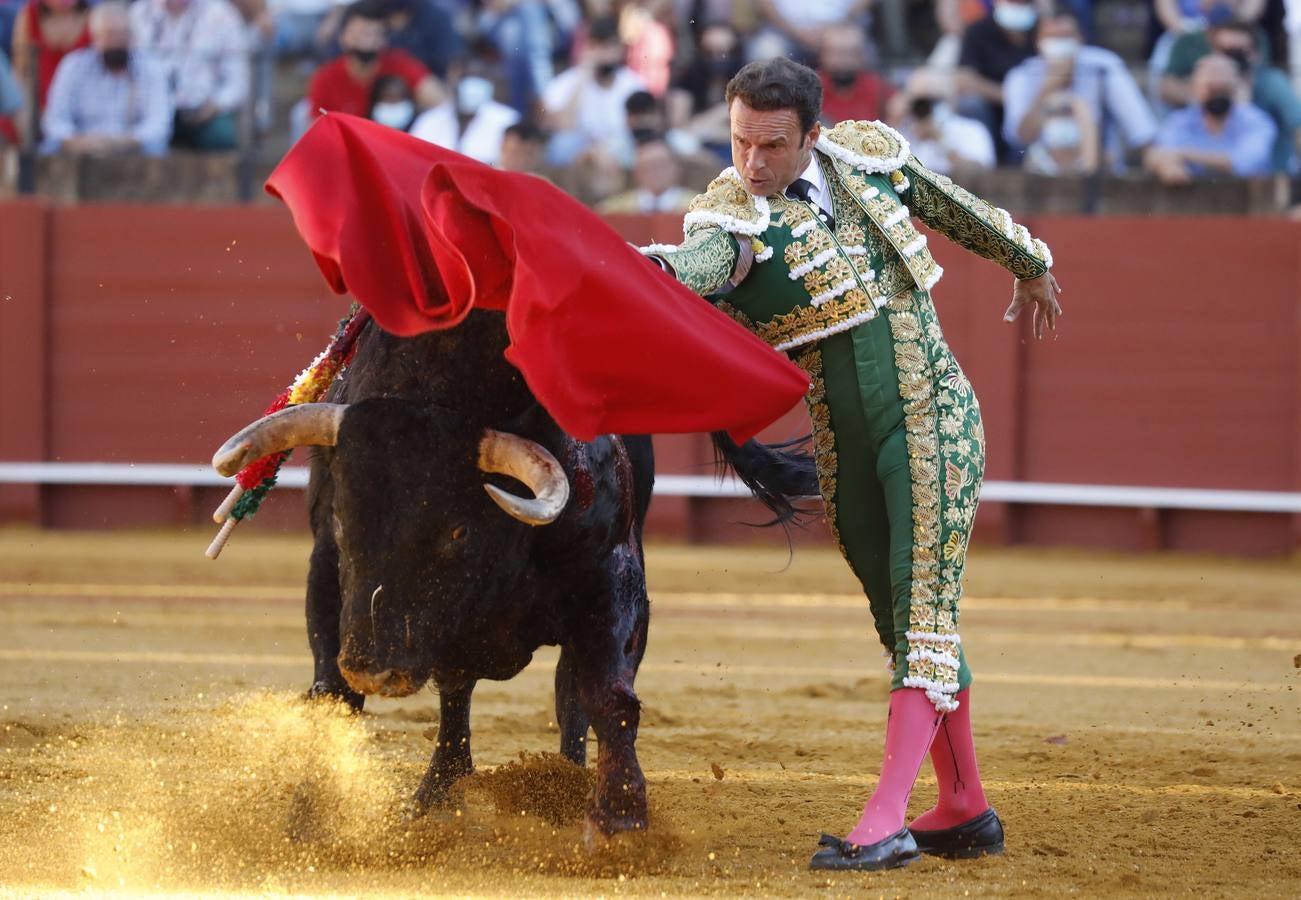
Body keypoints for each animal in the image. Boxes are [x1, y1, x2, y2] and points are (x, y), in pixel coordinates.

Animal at [215, 313, 660, 832]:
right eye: (343, 519)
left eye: (457, 532)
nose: (374, 669)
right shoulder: (326, 573)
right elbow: (335, 696)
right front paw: (310, 818)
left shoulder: (612, 577)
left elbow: (606, 695)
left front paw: (620, 820)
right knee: (455, 694)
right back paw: (437, 792)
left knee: (567, 687)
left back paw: (564, 784)